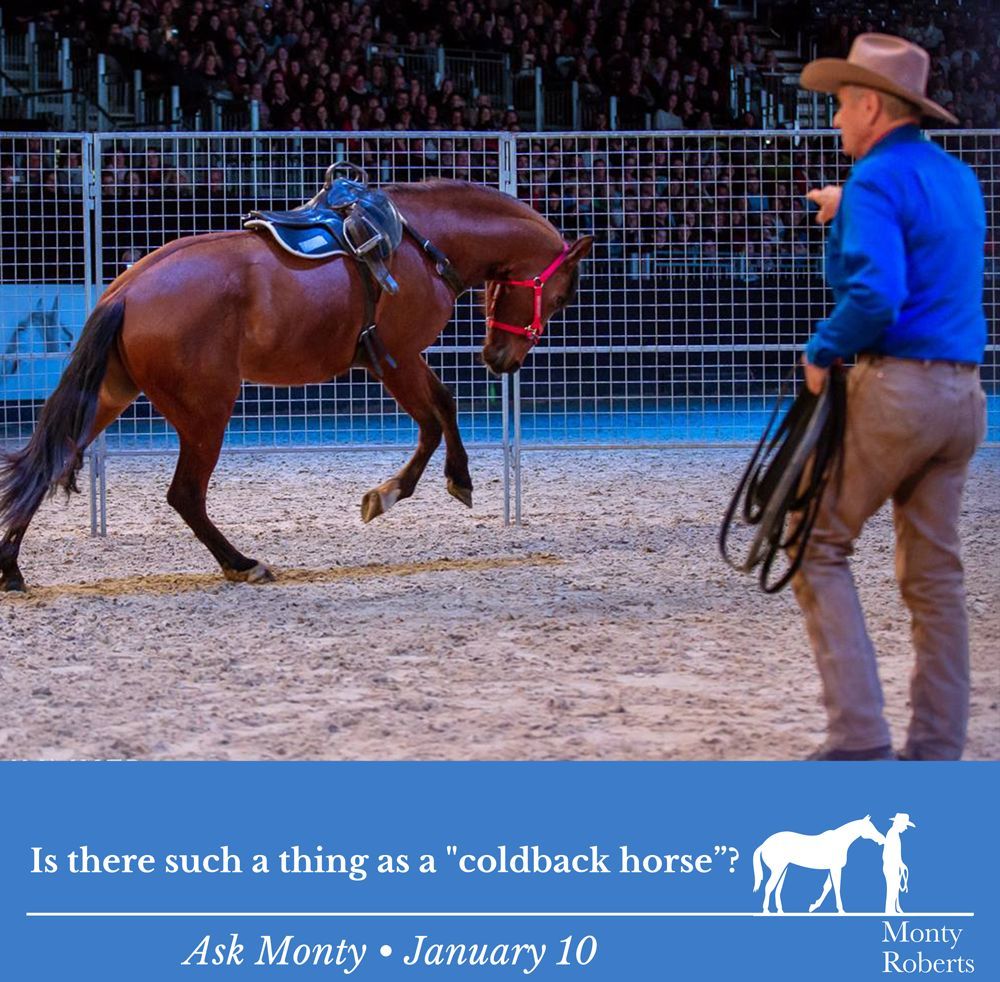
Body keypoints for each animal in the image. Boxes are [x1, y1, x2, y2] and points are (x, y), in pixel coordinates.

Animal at [0, 179, 593, 592]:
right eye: (562, 296)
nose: (500, 360)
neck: (420, 240)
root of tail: (125, 291)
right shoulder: (395, 358)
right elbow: (430, 422)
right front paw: (393, 493)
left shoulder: (398, 361)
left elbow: (443, 407)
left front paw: (449, 480)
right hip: (205, 412)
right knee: (185, 494)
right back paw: (242, 564)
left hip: (109, 397)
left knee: (47, 464)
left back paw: (10, 568)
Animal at [752, 815, 885, 914]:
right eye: (871, 828)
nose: (883, 839)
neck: (839, 841)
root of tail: (764, 844)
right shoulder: (836, 868)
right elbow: (836, 887)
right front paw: (841, 910)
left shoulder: (832, 869)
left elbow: (827, 887)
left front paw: (813, 906)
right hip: (778, 869)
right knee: (769, 886)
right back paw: (766, 911)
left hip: (783, 869)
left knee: (777, 888)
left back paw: (780, 911)